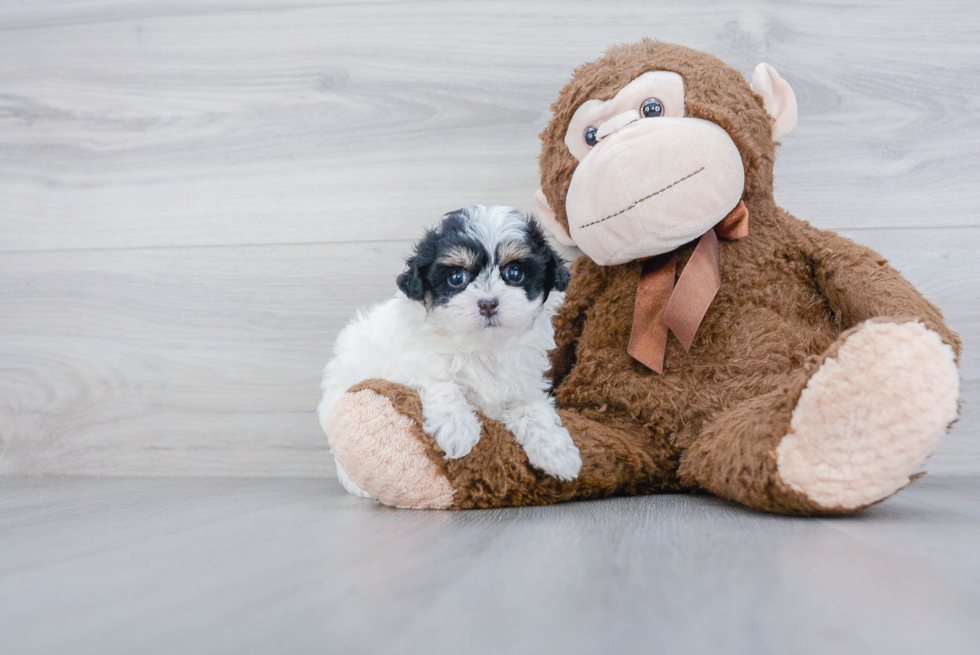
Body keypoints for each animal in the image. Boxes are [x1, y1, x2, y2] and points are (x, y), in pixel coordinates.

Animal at [320, 205, 580, 498]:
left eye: (515, 273)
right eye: (457, 278)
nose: (488, 303)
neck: (482, 347)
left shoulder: (521, 387)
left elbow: (534, 410)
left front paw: (557, 451)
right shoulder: (407, 369)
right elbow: (443, 385)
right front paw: (457, 429)